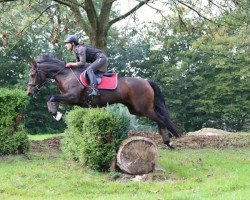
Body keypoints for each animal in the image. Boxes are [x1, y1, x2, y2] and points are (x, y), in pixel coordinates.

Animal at [26, 54, 181, 148]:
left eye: (32, 74)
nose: (29, 93)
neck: (65, 75)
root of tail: (146, 81)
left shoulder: (72, 97)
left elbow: (51, 97)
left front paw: (56, 115)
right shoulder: (71, 99)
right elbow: (51, 99)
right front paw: (56, 113)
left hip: (143, 108)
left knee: (161, 118)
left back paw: (169, 141)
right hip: (135, 109)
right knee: (160, 118)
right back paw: (168, 139)